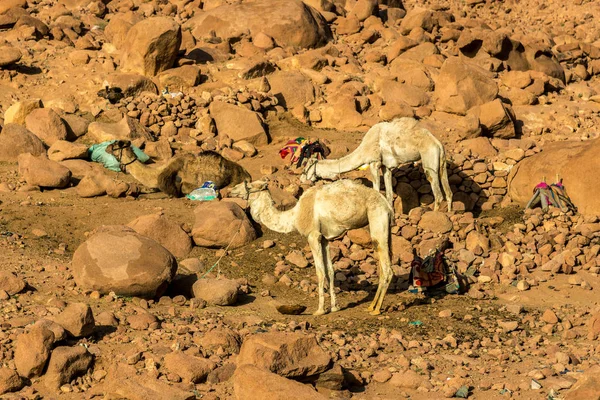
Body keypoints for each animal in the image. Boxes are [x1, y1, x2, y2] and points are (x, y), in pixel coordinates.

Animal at [108, 141, 251, 196]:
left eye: (114, 145)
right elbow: (146, 188)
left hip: (235, 179)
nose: (106, 147)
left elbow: (181, 189)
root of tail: (247, 173)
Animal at [229, 179, 394, 316]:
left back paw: (376, 309)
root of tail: (387, 205)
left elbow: (320, 272)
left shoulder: (313, 235)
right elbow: (330, 272)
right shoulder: (324, 239)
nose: (231, 191)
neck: (295, 216)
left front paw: (320, 310)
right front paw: (335, 307)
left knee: (387, 268)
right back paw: (371, 306)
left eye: (250, 185)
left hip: (377, 217)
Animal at [302, 116, 452, 212]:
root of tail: (438, 144)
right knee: (448, 192)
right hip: (441, 163)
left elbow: (376, 191)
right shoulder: (386, 167)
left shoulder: (374, 163)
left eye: (306, 167)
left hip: (429, 161)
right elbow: (389, 195)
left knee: (438, 194)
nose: (302, 179)